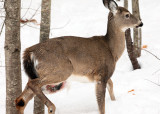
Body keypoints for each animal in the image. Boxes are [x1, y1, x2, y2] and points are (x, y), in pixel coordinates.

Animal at [15, 0, 143, 113]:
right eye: (127, 15)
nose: (140, 23)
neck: (111, 50)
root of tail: (30, 51)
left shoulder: (104, 76)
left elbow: (111, 86)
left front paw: (114, 101)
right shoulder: (101, 74)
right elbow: (101, 105)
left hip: (39, 72)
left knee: (20, 100)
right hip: (61, 69)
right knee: (32, 85)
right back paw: (51, 107)